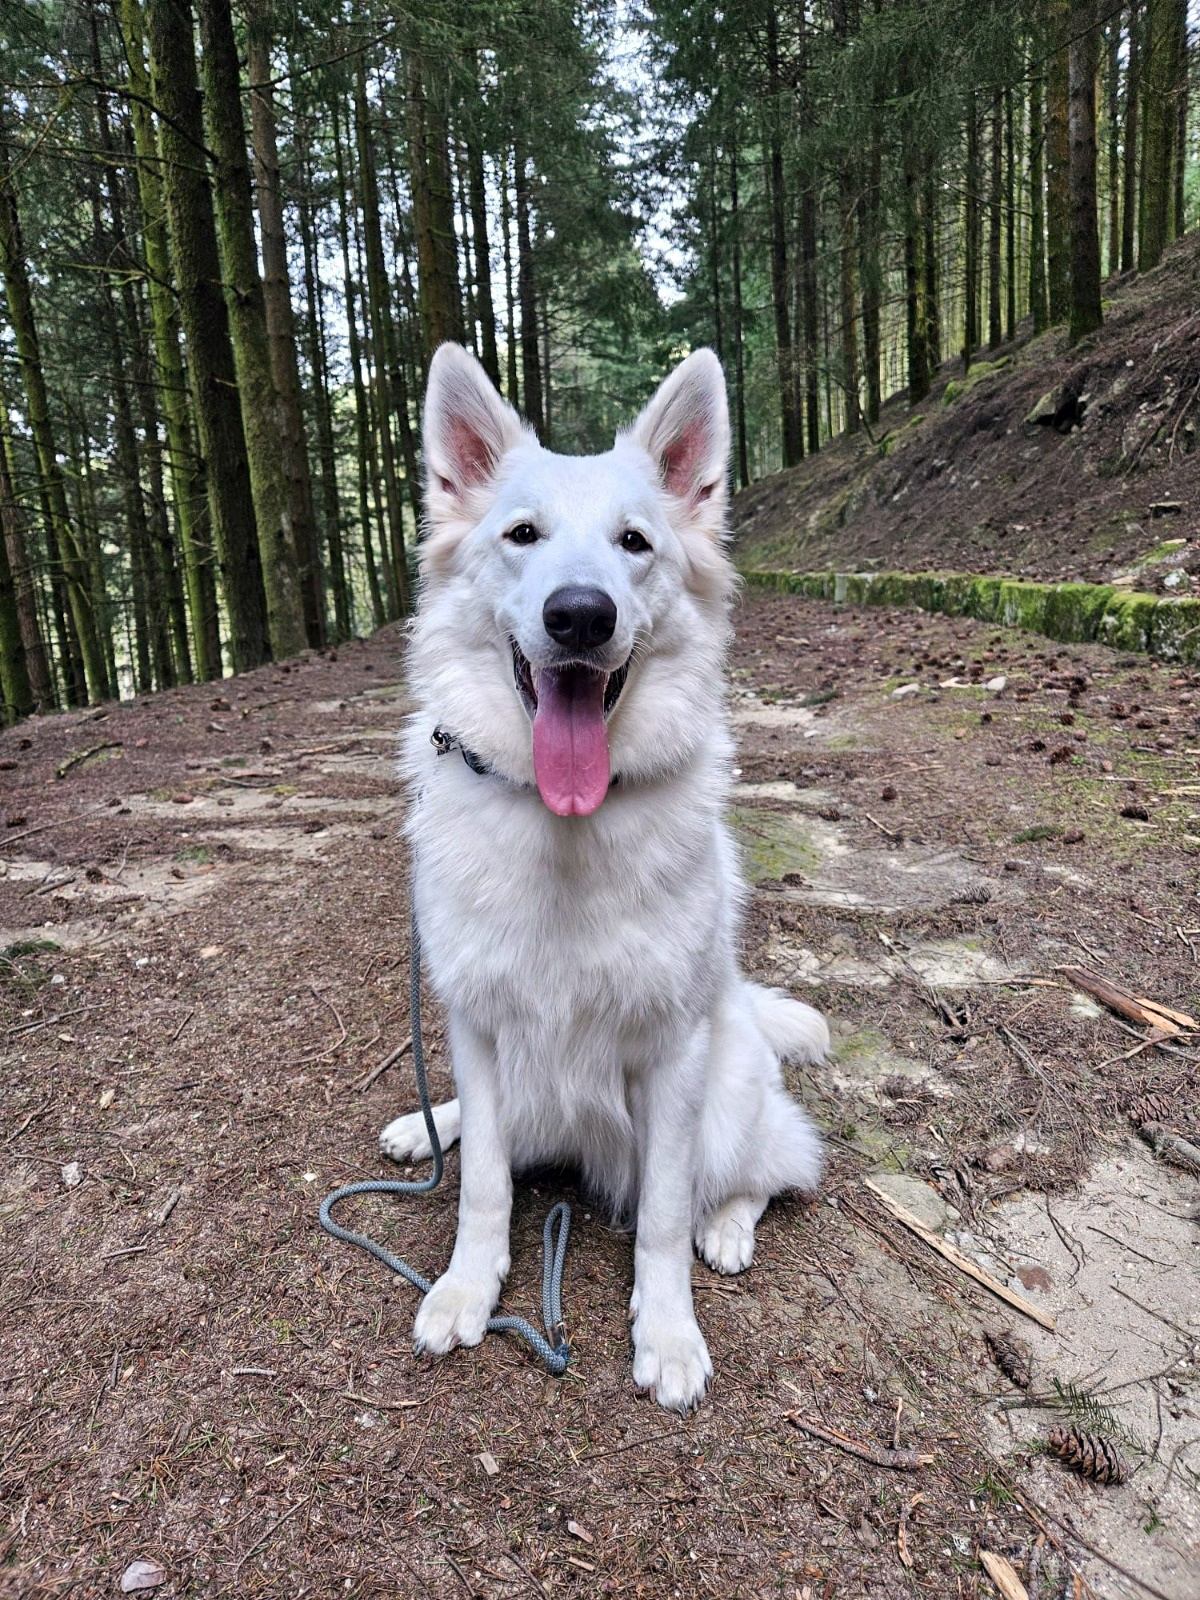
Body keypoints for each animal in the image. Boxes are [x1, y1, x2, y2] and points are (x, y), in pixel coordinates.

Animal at [380, 344, 828, 1411]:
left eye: (634, 543)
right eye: (522, 535)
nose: (579, 615)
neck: (563, 826)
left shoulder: (671, 1058)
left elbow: (660, 1214)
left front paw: (666, 1334)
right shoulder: (478, 1026)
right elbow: (485, 1183)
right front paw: (467, 1287)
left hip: (730, 1104)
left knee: (776, 1166)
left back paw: (729, 1224)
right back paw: (428, 1126)